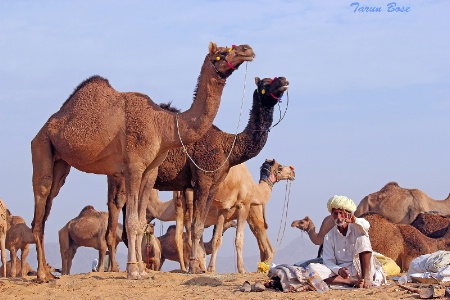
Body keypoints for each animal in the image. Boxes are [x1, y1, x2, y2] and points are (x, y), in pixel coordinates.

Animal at [31, 42, 255, 282]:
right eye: (221, 53)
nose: (247, 49)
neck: (163, 125)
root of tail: (46, 126)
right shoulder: (133, 167)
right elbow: (131, 222)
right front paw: (132, 270)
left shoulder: (149, 171)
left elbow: (139, 223)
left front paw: (141, 269)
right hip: (41, 146)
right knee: (41, 199)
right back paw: (42, 274)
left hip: (61, 162)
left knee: (47, 208)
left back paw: (47, 272)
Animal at [110, 75, 290, 274]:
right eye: (265, 84)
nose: (284, 80)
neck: (228, 146)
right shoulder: (203, 179)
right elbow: (196, 227)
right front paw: (196, 267)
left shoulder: (211, 186)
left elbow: (199, 227)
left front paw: (197, 265)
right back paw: (126, 267)